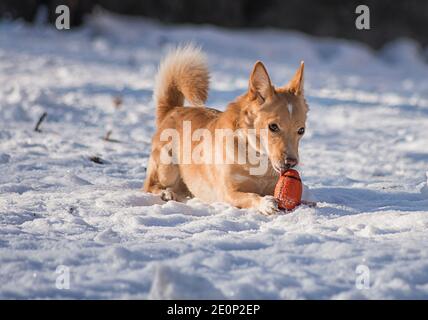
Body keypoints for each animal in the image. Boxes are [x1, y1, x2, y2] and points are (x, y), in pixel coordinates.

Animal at [144, 45, 308, 215]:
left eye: (301, 130)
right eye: (273, 127)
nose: (291, 163)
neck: (257, 158)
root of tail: (172, 109)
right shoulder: (228, 193)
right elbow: (251, 196)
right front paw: (265, 202)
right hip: (167, 167)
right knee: (149, 186)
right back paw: (166, 193)